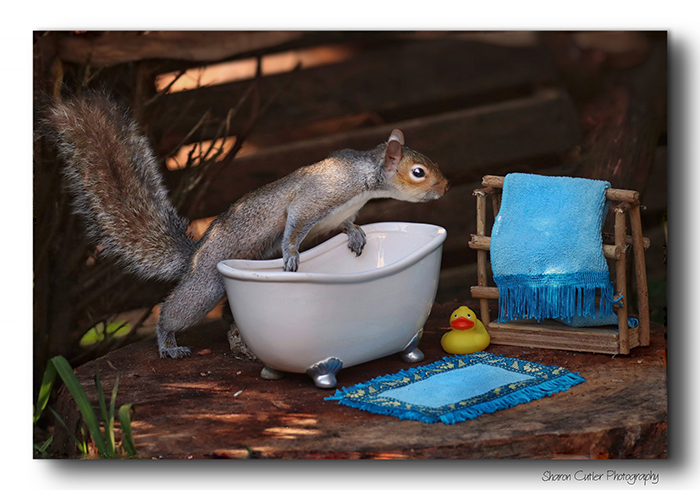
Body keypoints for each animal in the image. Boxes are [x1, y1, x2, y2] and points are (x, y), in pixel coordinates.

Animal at [45, 93, 449, 359]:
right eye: (418, 172)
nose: (445, 187)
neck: (364, 178)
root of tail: (195, 255)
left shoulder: (340, 210)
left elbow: (346, 222)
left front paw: (356, 234)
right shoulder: (317, 195)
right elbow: (294, 224)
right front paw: (291, 256)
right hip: (206, 286)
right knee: (173, 310)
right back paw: (167, 342)